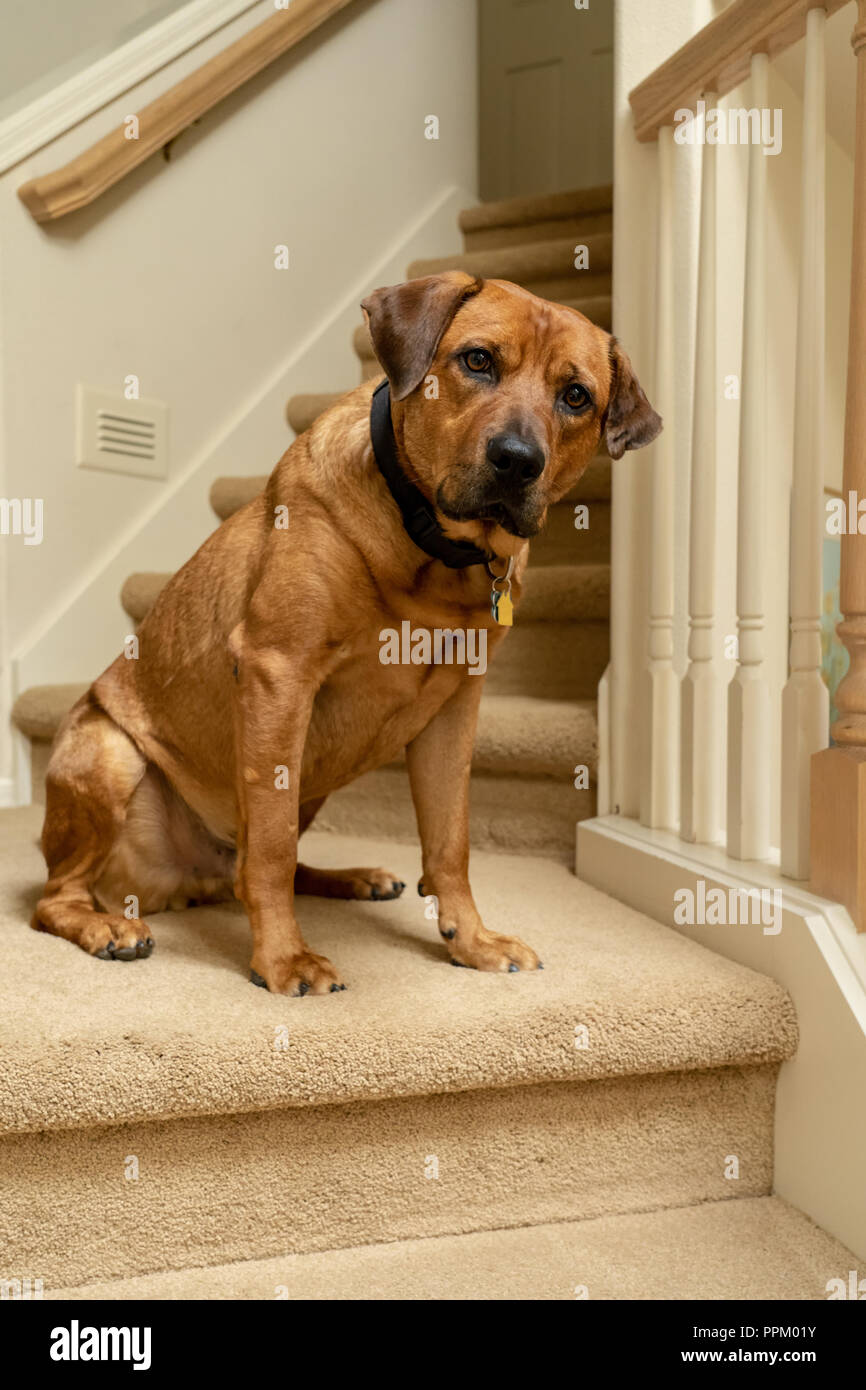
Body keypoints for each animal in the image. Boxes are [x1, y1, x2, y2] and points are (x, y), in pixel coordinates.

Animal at [32, 273, 656, 989]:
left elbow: (450, 843)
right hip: (110, 756)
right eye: (477, 360)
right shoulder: (279, 673)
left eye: (576, 396)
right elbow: (270, 853)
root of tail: (183, 885)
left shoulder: (455, 710)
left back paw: (352, 878)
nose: (518, 461)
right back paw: (106, 926)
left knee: (261, 863)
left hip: (311, 782)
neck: (434, 549)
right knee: (62, 897)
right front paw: (283, 959)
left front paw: (471, 941)